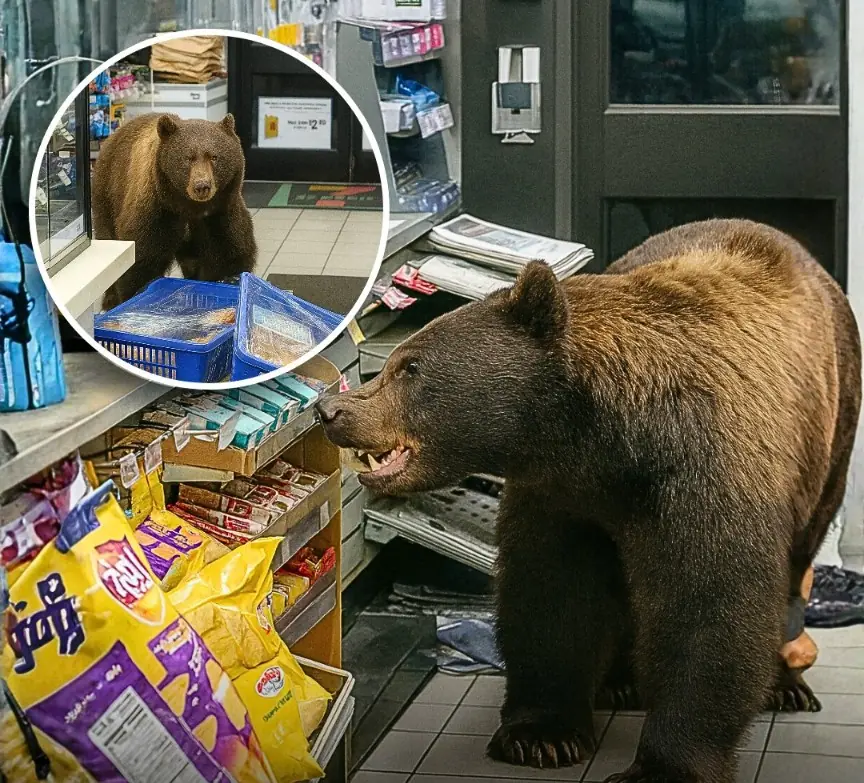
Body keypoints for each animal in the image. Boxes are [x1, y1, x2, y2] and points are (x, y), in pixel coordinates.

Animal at [91, 112, 257, 310]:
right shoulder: (158, 212)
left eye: (214, 157)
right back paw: (110, 299)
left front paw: (230, 280)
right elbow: (142, 261)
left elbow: (228, 254)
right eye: (188, 157)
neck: (189, 206)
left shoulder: (220, 212)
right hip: (107, 194)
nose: (202, 186)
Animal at [316, 219, 862, 783]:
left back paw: (785, 685)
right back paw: (619, 680)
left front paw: (665, 765)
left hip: (830, 435)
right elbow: (553, 590)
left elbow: (709, 604)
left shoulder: (704, 470)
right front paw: (541, 734)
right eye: (395, 364)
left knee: (795, 563)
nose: (331, 409)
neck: (612, 442)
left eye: (410, 367)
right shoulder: (563, 495)